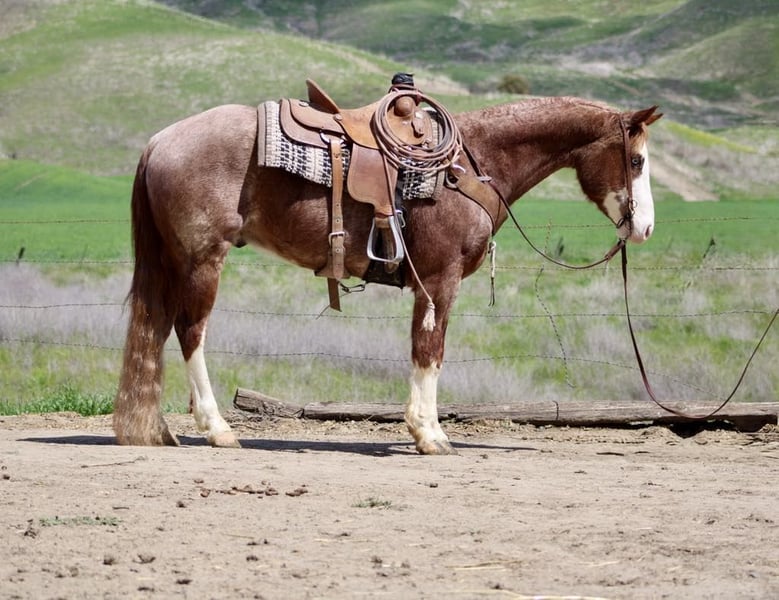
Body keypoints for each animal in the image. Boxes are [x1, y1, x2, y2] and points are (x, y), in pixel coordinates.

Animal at [113, 92, 661, 454]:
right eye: (636, 160)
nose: (646, 228)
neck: (468, 167)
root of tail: (160, 141)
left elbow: (425, 352)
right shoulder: (439, 281)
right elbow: (430, 350)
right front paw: (430, 434)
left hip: (174, 261)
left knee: (157, 328)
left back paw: (158, 431)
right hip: (203, 259)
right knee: (190, 332)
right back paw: (217, 429)